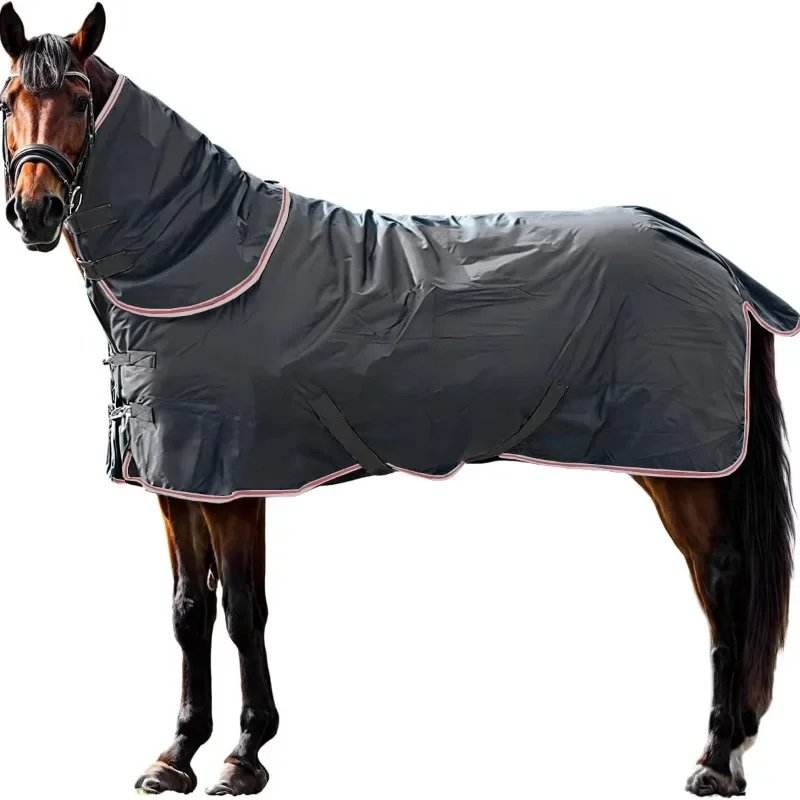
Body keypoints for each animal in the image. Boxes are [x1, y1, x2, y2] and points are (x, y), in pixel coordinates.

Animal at [1, 3, 795, 797]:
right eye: (9, 100)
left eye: (80, 101)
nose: (36, 211)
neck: (202, 262)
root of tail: (710, 257)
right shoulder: (176, 480)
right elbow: (189, 612)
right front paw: (176, 755)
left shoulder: (234, 481)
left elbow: (244, 613)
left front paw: (244, 755)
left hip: (682, 468)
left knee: (722, 583)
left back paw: (715, 759)